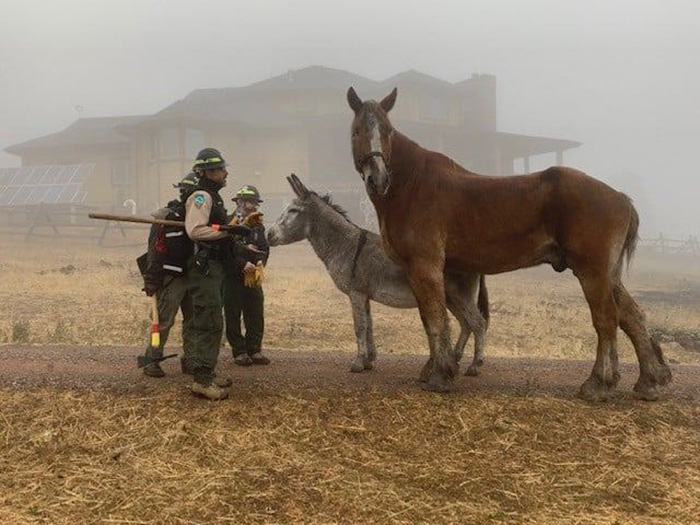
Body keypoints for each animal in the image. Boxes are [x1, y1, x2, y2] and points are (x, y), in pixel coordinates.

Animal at [344, 86, 672, 400]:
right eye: (357, 131)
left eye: (387, 131)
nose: (378, 179)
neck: (412, 185)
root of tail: (620, 197)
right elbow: (431, 320)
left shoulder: (425, 267)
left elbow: (435, 320)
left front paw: (441, 375)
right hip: (608, 275)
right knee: (632, 318)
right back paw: (648, 381)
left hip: (593, 273)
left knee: (606, 320)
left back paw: (598, 385)